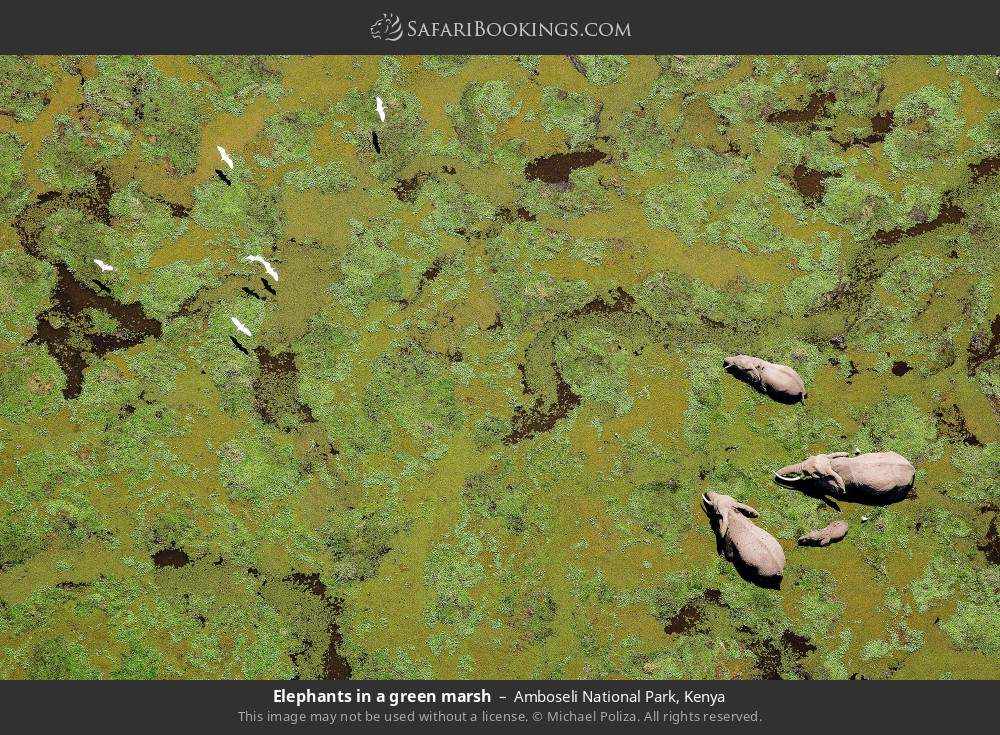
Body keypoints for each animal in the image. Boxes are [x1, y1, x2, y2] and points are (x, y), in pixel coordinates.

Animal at [774, 451, 915, 504]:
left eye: (814, 473)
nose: (774, 474)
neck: (832, 464)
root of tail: (912, 468)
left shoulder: (846, 482)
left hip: (899, 485)